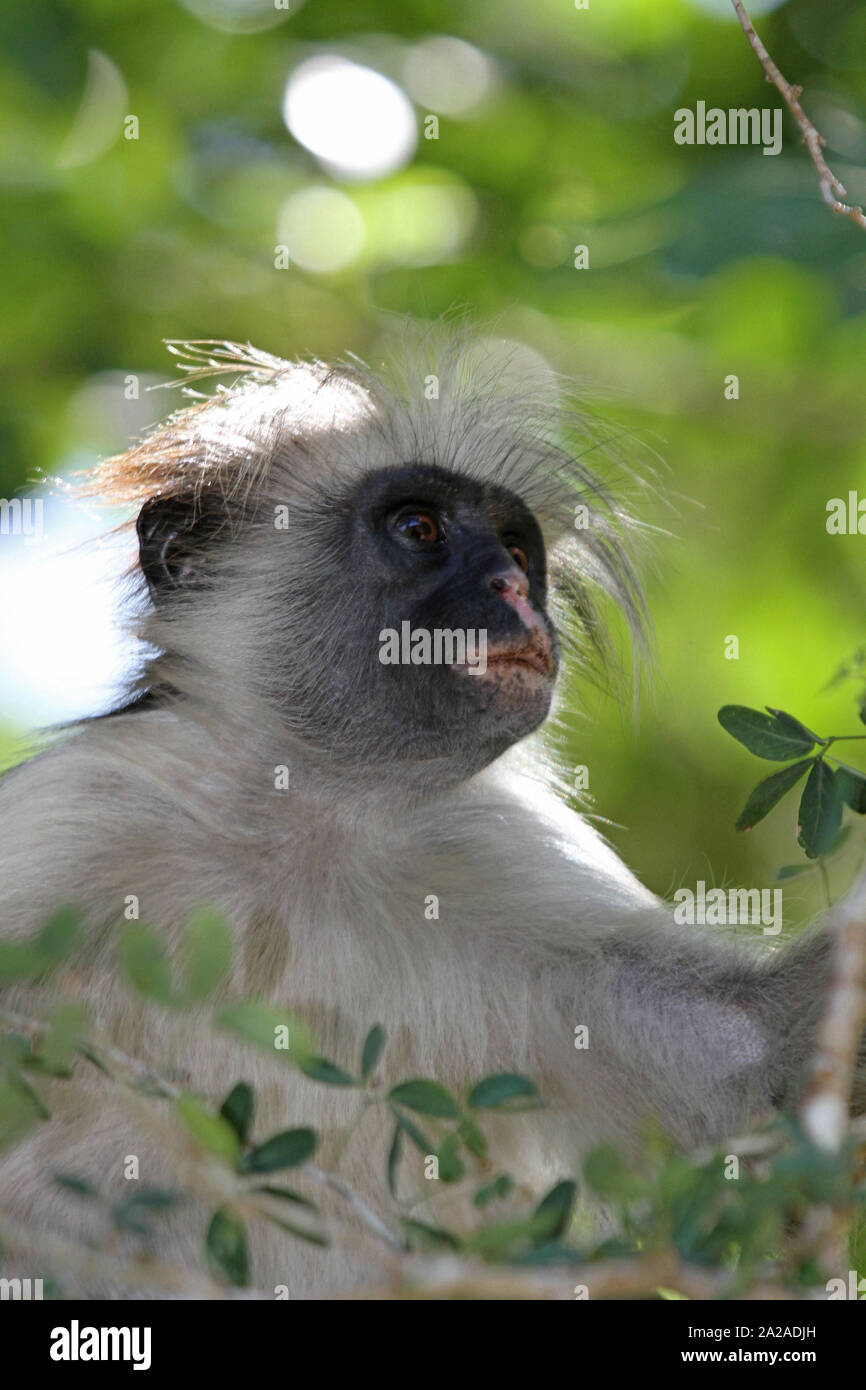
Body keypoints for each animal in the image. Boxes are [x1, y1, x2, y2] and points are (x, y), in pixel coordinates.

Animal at [0, 330, 856, 1295]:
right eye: (421, 529)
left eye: (518, 547)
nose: (514, 588)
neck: (304, 821)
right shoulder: (86, 809)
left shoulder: (504, 854)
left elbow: (758, 1059)